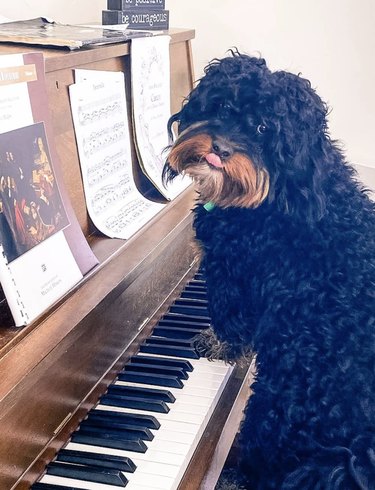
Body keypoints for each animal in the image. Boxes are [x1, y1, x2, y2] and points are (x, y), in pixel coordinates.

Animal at [164, 51, 375, 488]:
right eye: (223, 107)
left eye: (264, 128)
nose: (221, 148)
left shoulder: (230, 273)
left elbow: (230, 320)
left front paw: (217, 343)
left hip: (277, 403)